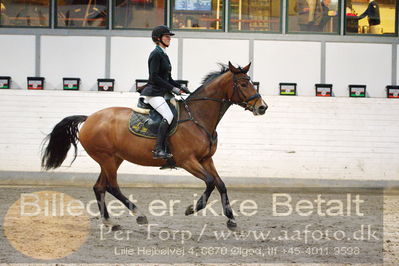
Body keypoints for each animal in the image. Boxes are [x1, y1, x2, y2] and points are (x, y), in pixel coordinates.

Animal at [41, 61, 268, 231]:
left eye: (251, 83)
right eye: (244, 84)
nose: (262, 107)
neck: (198, 117)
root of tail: (89, 118)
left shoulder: (206, 159)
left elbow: (221, 184)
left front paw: (231, 219)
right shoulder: (187, 161)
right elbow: (211, 182)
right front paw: (192, 208)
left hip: (113, 159)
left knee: (100, 187)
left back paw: (110, 222)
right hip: (107, 158)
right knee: (112, 186)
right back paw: (139, 215)